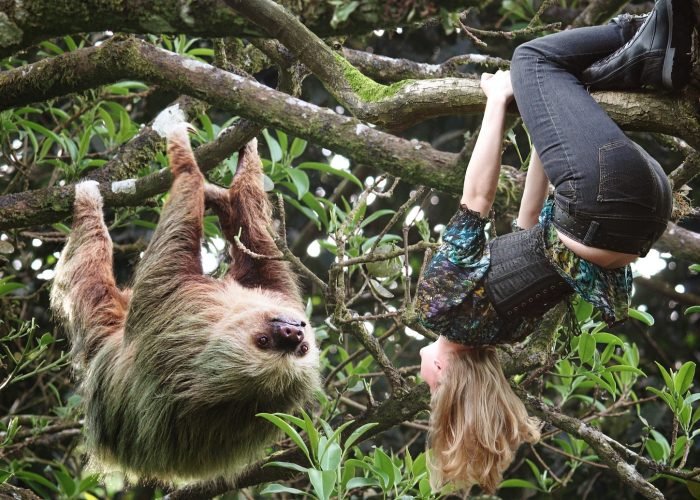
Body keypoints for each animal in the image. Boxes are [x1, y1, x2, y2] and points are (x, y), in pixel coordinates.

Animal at [50, 125, 321, 482]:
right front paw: (243, 160)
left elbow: (170, 250)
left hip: (103, 337)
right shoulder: (285, 296)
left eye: (266, 343)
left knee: (88, 273)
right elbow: (261, 248)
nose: (293, 332)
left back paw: (88, 200)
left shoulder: (178, 313)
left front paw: (183, 154)